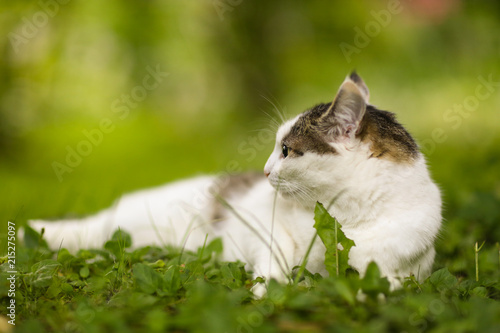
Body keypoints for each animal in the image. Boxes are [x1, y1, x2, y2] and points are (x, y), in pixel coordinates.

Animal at [28, 72, 442, 288]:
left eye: (286, 150)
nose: (266, 170)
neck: (342, 217)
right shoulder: (266, 228)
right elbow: (274, 258)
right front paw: (268, 290)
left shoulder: (399, 265)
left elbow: (381, 282)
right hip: (128, 226)